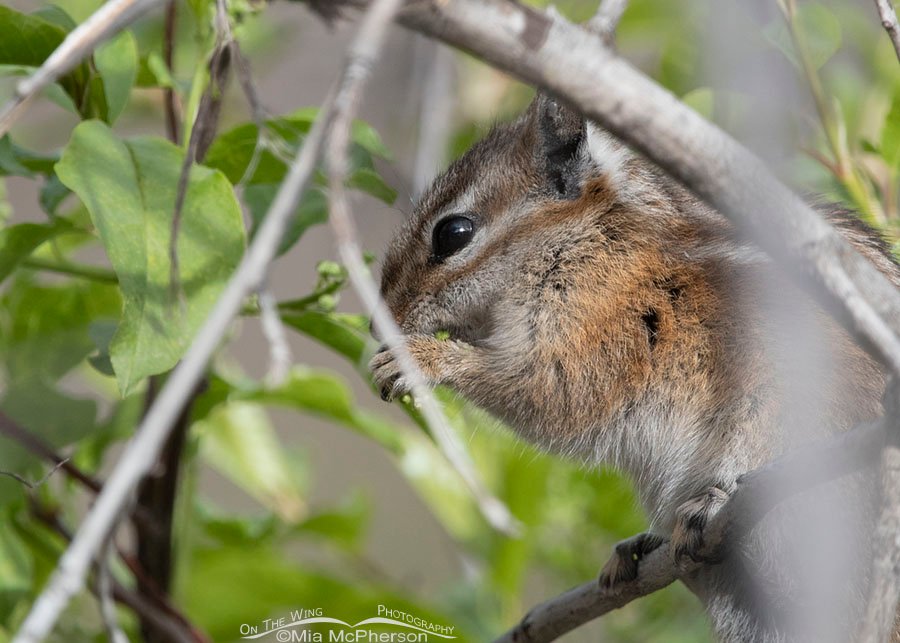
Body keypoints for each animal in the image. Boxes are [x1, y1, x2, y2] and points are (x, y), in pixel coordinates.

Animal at [369, 94, 900, 642]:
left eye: (453, 234)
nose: (376, 320)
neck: (591, 239)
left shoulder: (596, 332)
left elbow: (549, 392)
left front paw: (425, 359)